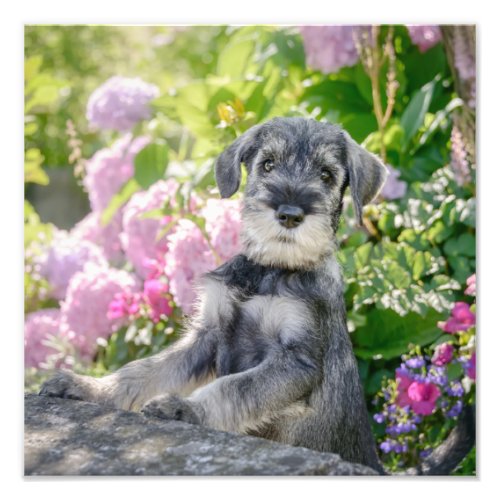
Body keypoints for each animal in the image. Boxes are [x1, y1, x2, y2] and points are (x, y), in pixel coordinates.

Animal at [41, 116, 474, 472]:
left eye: (327, 174)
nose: (289, 213)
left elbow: (235, 388)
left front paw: (185, 409)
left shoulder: (295, 360)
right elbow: (144, 370)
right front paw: (89, 387)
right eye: (267, 164)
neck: (271, 268)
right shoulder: (207, 337)